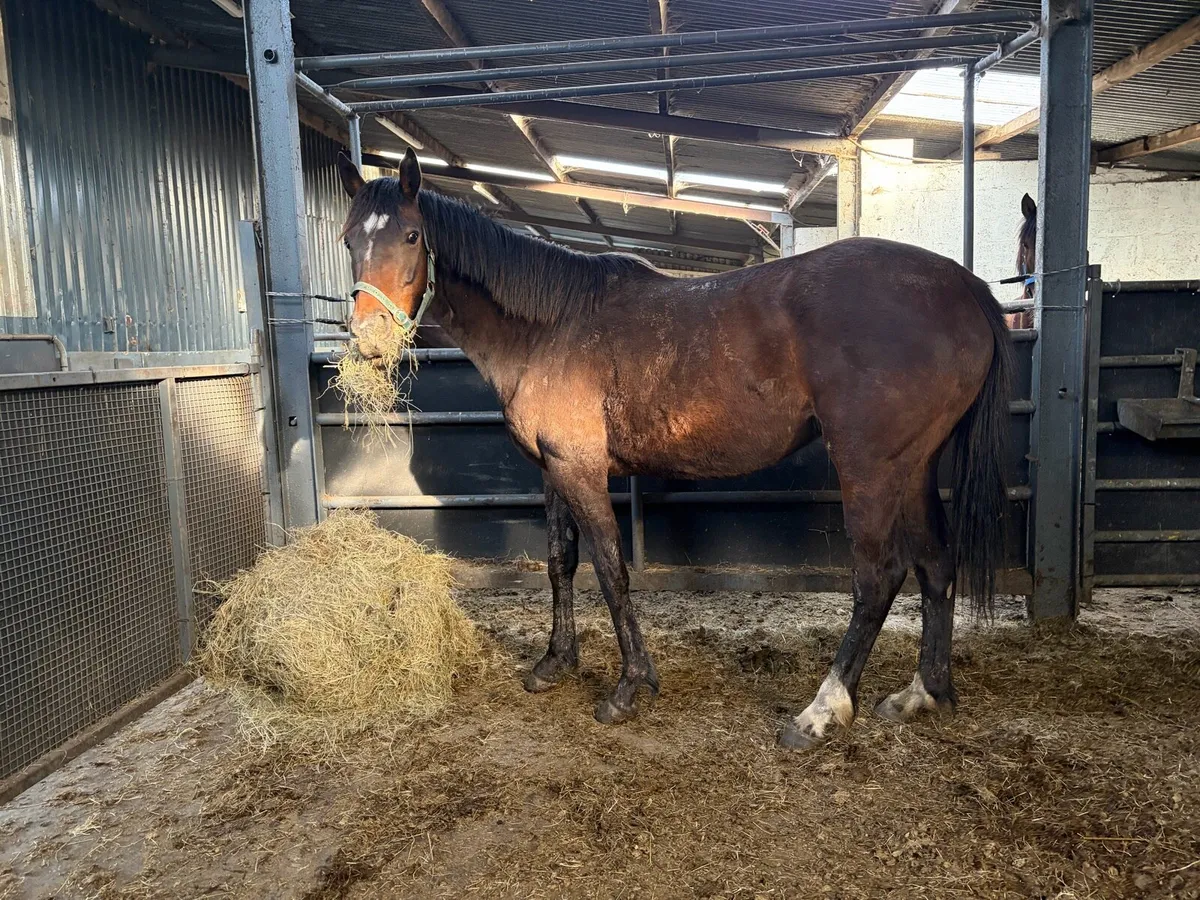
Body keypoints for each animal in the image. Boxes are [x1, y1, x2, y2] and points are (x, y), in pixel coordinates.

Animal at [335, 148, 1013, 750]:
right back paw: (923, 693)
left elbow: (611, 570)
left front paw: (629, 687)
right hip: (914, 466)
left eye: (412, 235)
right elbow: (560, 562)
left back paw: (819, 713)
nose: (368, 340)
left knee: (879, 577)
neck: (550, 325)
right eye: (347, 241)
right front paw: (555, 663)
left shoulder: (582, 470)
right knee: (936, 565)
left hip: (869, 467)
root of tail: (962, 285)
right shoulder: (554, 471)